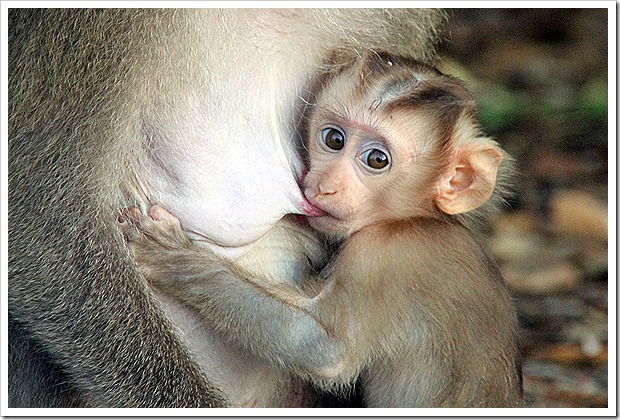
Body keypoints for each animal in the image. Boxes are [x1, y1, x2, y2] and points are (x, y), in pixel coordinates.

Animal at [126, 51, 524, 406]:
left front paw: (172, 256)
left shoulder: (382, 255)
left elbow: (324, 348)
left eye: (377, 159)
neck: (420, 219)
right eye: (334, 139)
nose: (325, 185)